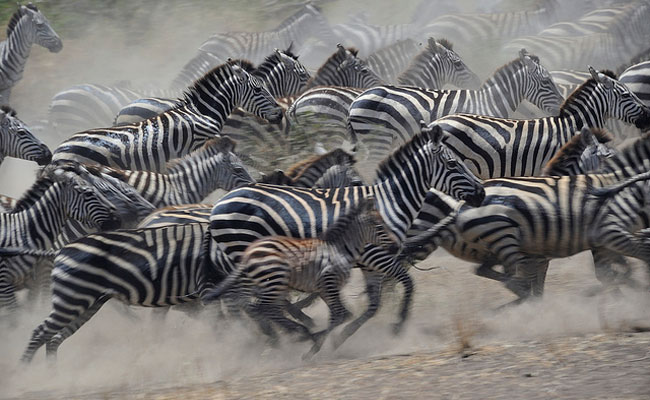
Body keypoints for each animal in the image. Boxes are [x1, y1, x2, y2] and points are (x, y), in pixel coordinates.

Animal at [18, 222, 214, 362]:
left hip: (86, 303)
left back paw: (52, 374)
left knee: (53, 338)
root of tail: (60, 250)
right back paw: (25, 373)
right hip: (71, 300)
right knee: (40, 333)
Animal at [51, 62, 283, 172]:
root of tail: (58, 151)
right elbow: (246, 159)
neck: (202, 113)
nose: (280, 113)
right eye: (259, 89)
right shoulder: (206, 144)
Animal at [203, 197, 398, 358]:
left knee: (265, 308)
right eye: (380, 227)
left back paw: (298, 332)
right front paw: (317, 344)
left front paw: (323, 340)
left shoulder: (326, 288)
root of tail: (248, 252)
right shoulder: (328, 282)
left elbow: (341, 315)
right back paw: (299, 333)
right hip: (274, 281)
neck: (339, 249)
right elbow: (340, 315)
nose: (396, 247)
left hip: (270, 285)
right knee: (262, 307)